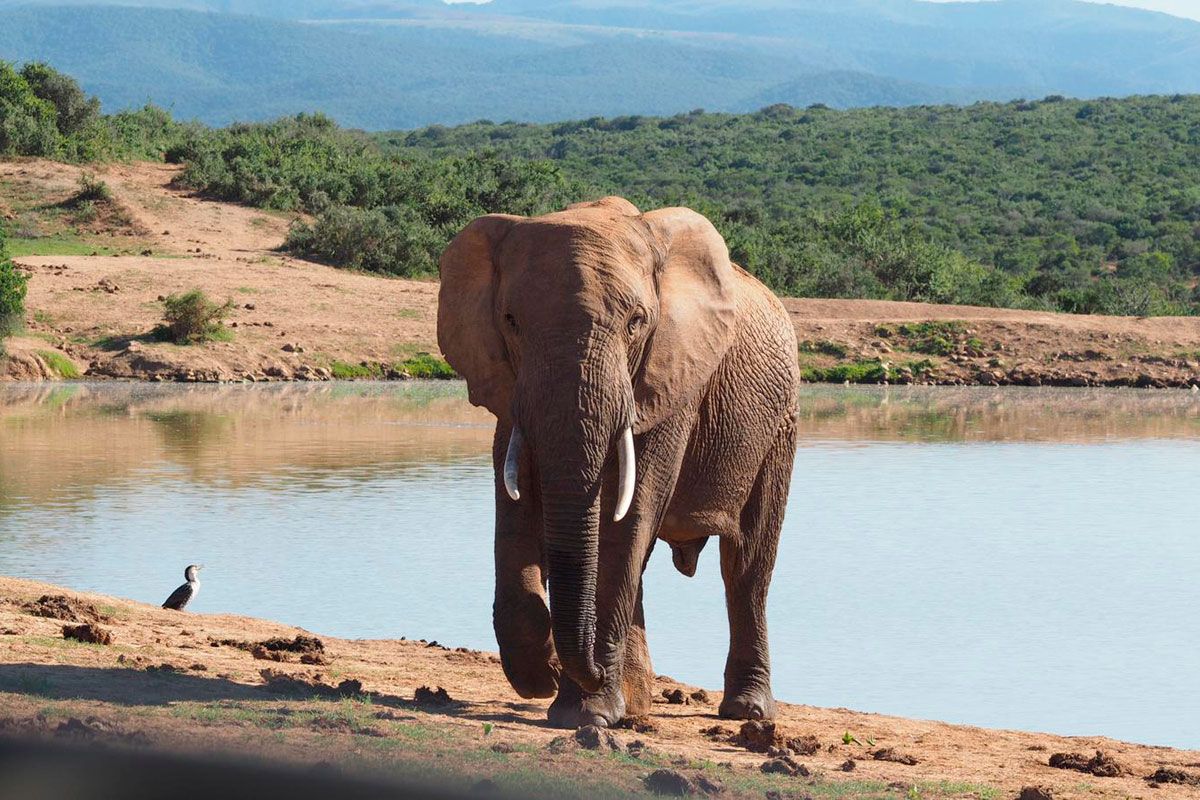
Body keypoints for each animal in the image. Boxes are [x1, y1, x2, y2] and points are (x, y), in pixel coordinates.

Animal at [437, 196, 799, 729]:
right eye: (511, 321)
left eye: (636, 322)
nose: (573, 667)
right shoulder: (511, 388)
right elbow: (516, 508)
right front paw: (544, 678)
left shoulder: (669, 379)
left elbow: (625, 518)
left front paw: (584, 712)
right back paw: (637, 701)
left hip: (780, 427)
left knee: (746, 565)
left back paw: (745, 712)